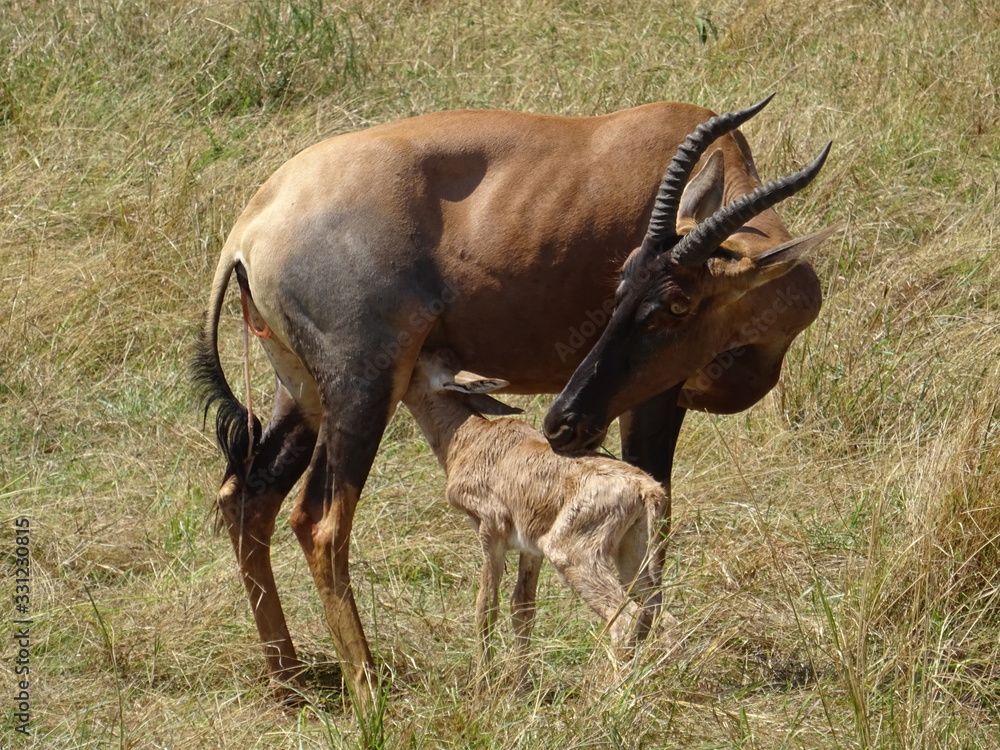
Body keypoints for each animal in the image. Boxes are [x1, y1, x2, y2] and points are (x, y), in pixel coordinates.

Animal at [401, 350, 676, 675]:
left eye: (417, 364)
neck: (472, 438)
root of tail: (646, 488)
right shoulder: (529, 547)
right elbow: (522, 608)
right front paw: (519, 682)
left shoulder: (490, 531)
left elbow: (486, 606)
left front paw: (484, 682)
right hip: (632, 554)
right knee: (660, 615)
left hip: (571, 555)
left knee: (626, 619)